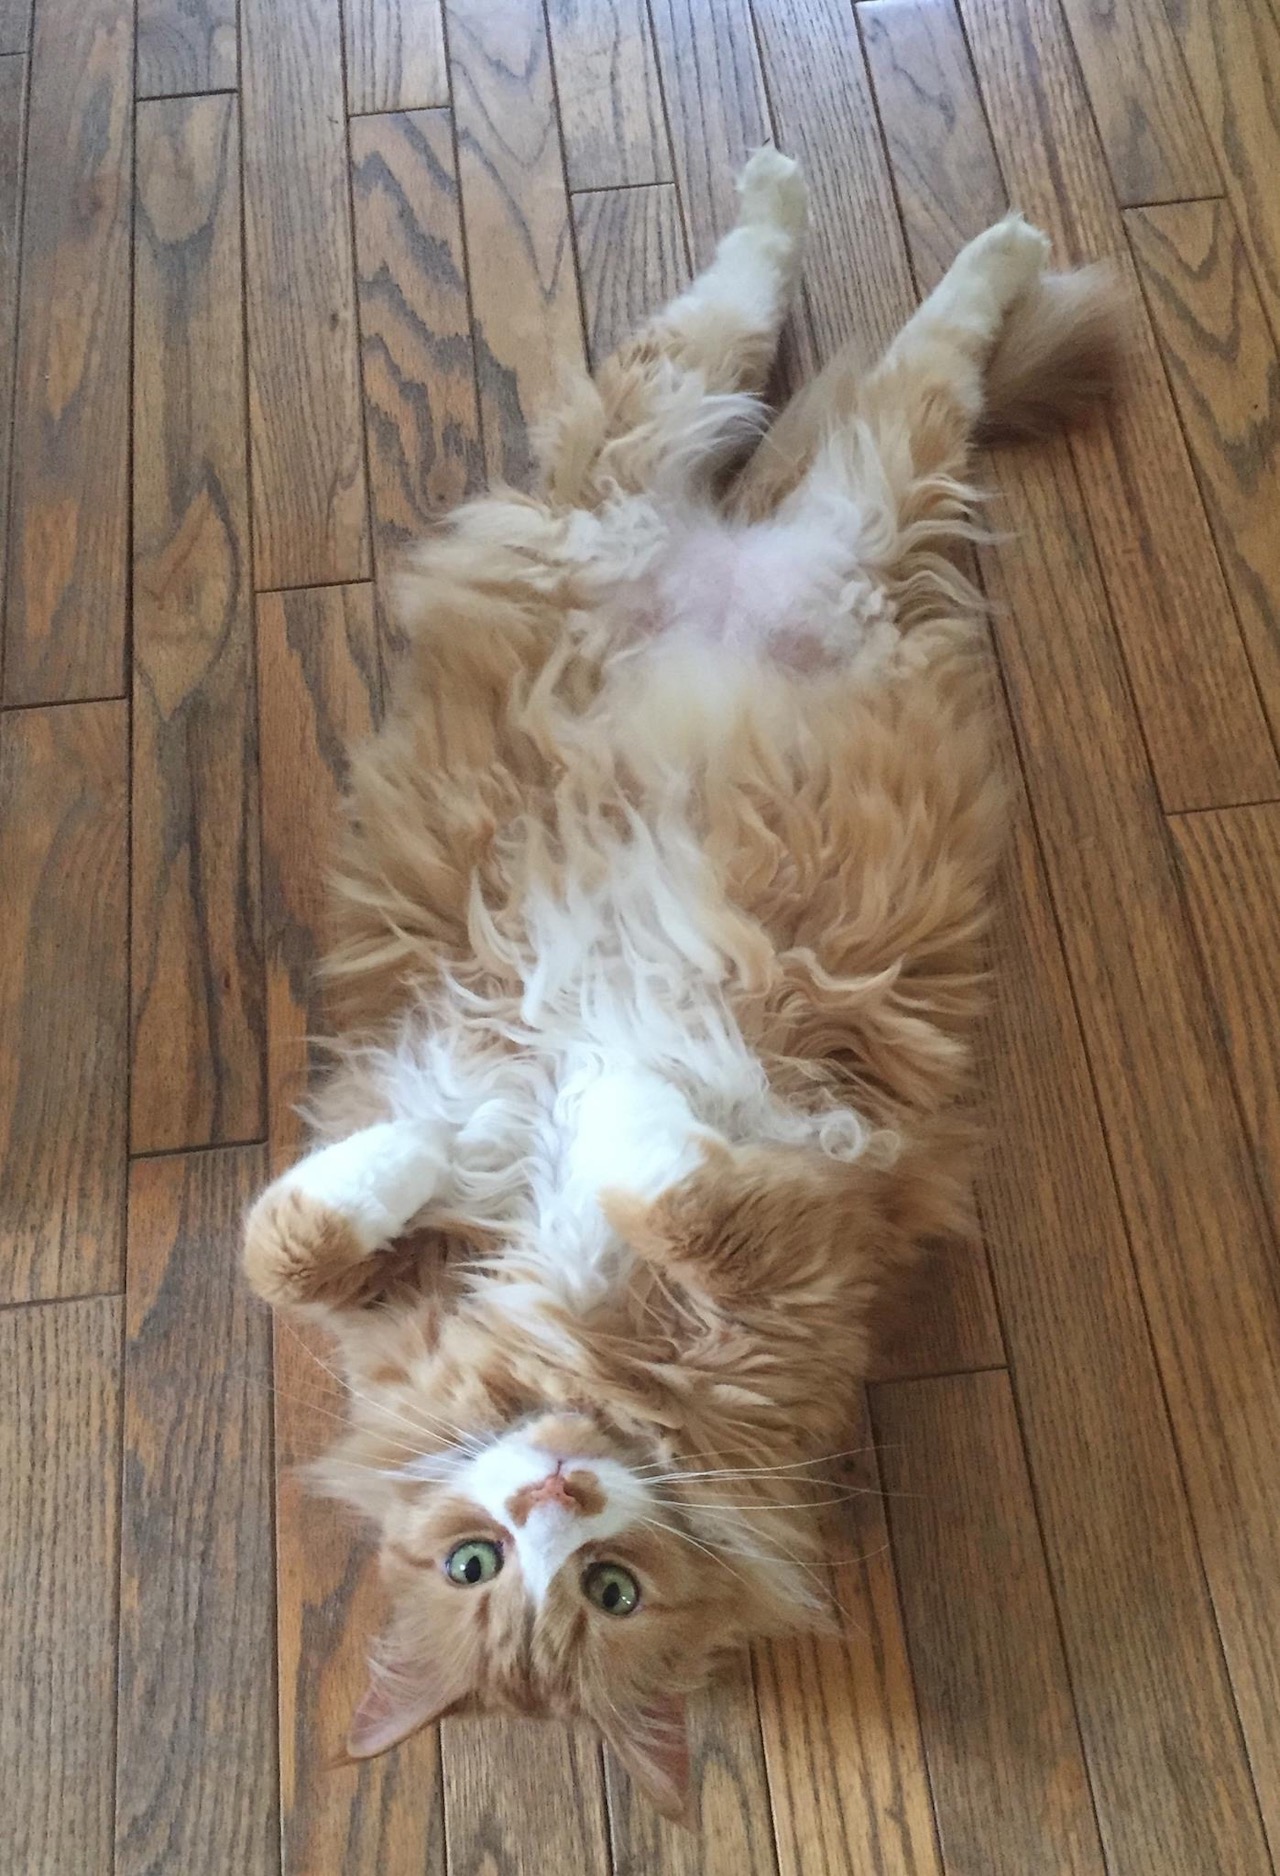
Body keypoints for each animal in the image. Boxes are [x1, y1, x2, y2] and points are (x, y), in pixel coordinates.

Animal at [242, 153, 1118, 1823]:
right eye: (479, 1567)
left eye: (609, 1591)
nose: (558, 1488)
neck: (579, 1364)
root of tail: (735, 561)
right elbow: (299, 1240)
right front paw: (469, 1145)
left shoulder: (806, 1242)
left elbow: (657, 1188)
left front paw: (575, 1115)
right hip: (776, 472)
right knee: (873, 352)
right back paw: (916, 228)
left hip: (704, 466)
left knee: (860, 320)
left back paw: (930, 221)